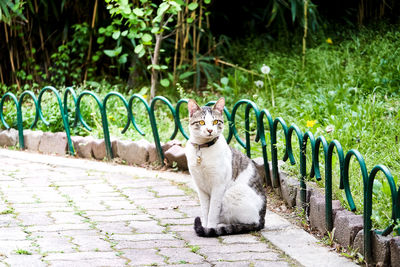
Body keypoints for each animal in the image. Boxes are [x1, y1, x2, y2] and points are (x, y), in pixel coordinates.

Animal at [186, 97, 268, 238]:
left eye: (215, 122)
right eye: (201, 122)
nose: (210, 130)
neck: (202, 149)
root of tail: (262, 218)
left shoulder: (218, 186)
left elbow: (213, 211)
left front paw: (209, 228)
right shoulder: (200, 187)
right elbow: (205, 210)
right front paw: (205, 225)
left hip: (234, 191)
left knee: (249, 223)